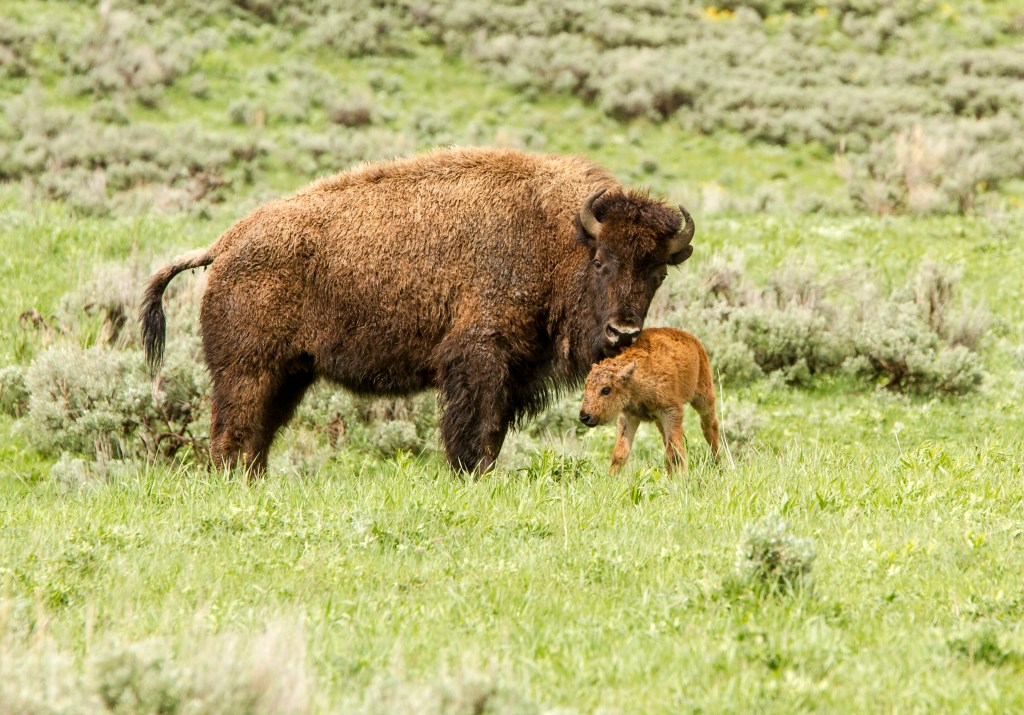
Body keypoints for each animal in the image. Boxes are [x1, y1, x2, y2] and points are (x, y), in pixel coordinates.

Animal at [140, 147, 695, 476]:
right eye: (602, 261)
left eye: (658, 272)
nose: (623, 332)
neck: (559, 236)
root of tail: (225, 244)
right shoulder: (478, 360)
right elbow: (472, 430)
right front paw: (470, 473)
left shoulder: (516, 374)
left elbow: (493, 431)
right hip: (248, 371)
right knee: (233, 432)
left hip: (289, 374)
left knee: (258, 434)